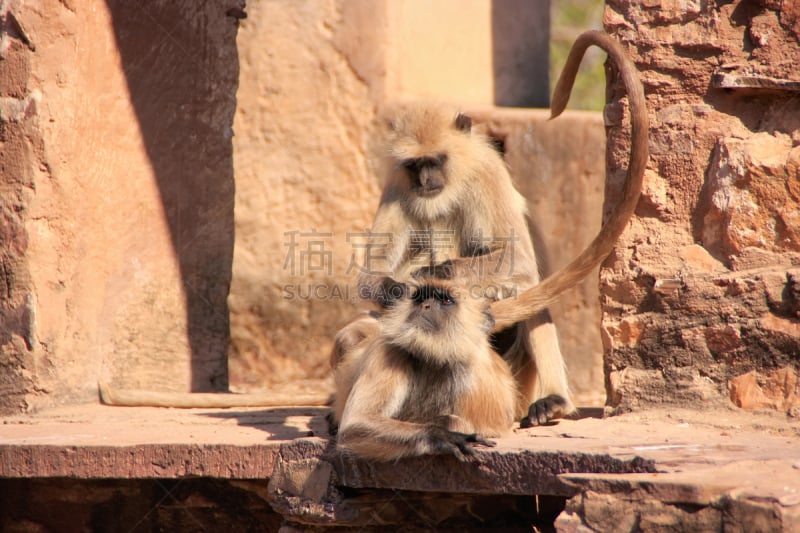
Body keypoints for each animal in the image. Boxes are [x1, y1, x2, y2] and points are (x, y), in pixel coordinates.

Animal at [332, 28, 648, 428]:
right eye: (416, 164)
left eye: (436, 160)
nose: (426, 180)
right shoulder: (399, 182)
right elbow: (370, 276)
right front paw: (402, 288)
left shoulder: (487, 171)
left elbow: (519, 262)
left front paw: (433, 276)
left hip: (517, 378)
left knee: (525, 292)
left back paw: (555, 401)